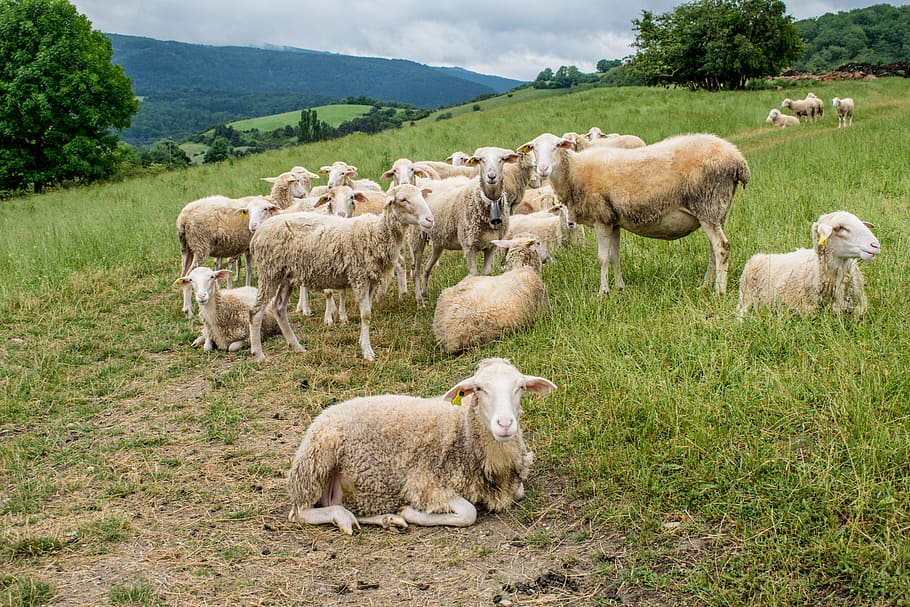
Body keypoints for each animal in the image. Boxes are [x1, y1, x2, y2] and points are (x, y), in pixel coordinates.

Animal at [248, 184, 435, 362]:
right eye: (403, 199)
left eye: (421, 195)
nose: (430, 220)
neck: (375, 233)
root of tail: (258, 233)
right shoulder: (359, 277)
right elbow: (366, 315)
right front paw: (367, 351)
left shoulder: (370, 281)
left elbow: (367, 312)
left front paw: (362, 342)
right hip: (269, 272)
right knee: (255, 312)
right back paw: (259, 354)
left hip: (286, 276)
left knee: (279, 307)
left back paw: (296, 346)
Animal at [287, 357, 556, 534]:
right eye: (479, 389)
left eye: (520, 387)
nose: (505, 424)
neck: (463, 434)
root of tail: (326, 413)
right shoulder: (424, 484)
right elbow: (468, 512)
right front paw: (412, 512)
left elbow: (519, 492)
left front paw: (403, 514)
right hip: (314, 463)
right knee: (300, 512)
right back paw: (343, 518)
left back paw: (386, 519)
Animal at [411, 147, 521, 308]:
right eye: (481, 160)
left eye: (502, 159)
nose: (491, 176)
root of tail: (424, 183)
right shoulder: (469, 246)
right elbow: (474, 275)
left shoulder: (491, 246)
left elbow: (487, 274)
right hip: (417, 236)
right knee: (416, 270)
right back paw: (419, 301)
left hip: (438, 240)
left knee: (427, 267)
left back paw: (425, 295)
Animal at [518, 132, 750, 295]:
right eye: (533, 148)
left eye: (557, 145)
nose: (543, 170)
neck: (573, 172)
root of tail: (738, 160)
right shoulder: (613, 221)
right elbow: (615, 256)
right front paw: (620, 287)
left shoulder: (601, 219)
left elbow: (602, 258)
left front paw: (603, 292)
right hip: (718, 210)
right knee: (714, 249)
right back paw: (706, 285)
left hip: (707, 205)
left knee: (721, 247)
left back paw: (718, 291)